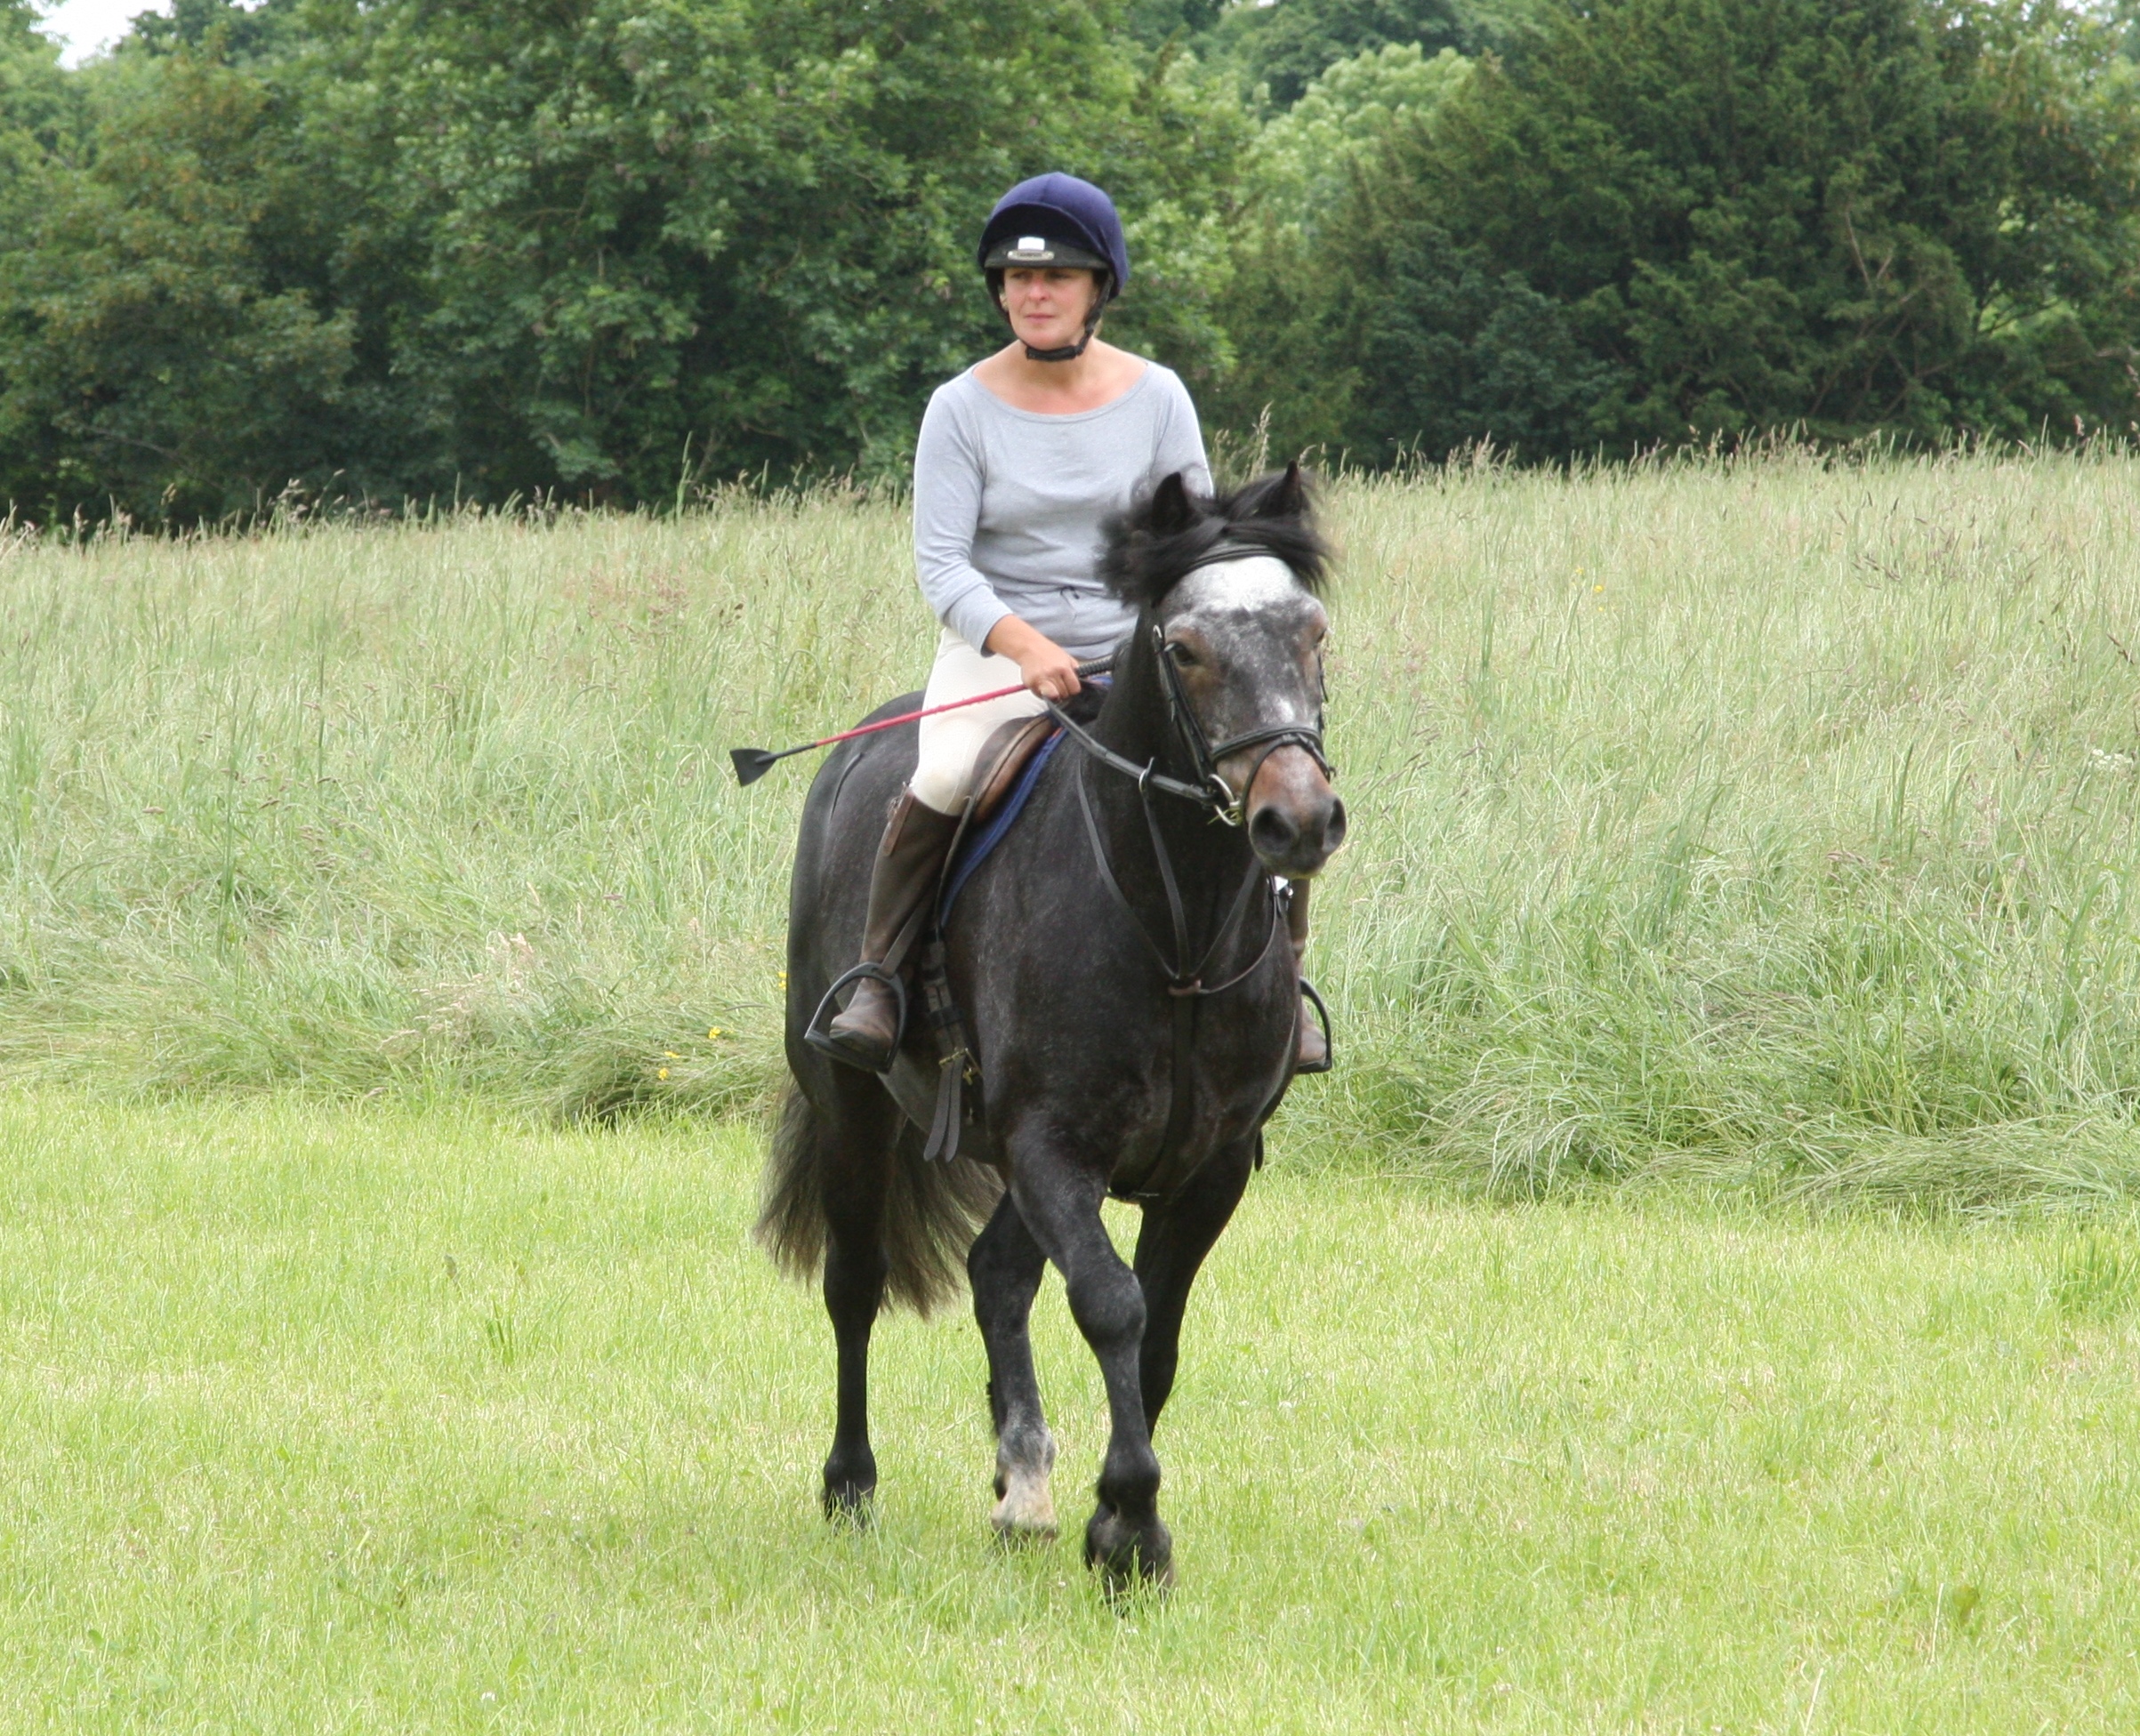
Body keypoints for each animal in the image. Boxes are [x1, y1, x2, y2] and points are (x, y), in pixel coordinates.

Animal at [757, 463, 1346, 1587]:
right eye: (1187, 647)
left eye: (1314, 631)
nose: (1298, 821)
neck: (1174, 927)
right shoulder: (1053, 1146)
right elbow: (1112, 1303)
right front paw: (1131, 1528)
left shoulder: (1209, 1166)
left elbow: (1154, 1332)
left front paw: (1110, 1511)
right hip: (855, 1110)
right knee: (857, 1285)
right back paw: (851, 1484)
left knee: (997, 1273)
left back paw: (1020, 1476)